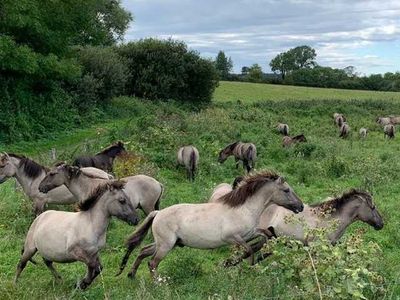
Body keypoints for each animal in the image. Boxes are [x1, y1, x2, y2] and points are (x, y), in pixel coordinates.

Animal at [117, 171, 304, 278]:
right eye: (287, 190)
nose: (300, 206)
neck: (244, 208)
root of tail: (157, 213)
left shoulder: (248, 233)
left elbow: (264, 235)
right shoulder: (232, 237)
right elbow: (248, 249)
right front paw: (246, 267)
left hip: (166, 243)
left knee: (142, 251)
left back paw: (130, 275)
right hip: (165, 246)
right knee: (152, 263)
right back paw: (159, 284)